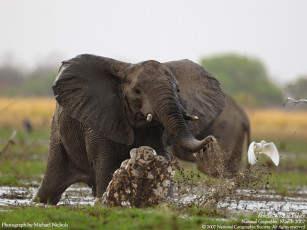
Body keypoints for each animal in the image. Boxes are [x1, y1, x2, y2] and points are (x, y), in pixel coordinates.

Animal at [33, 54, 226, 205]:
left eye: (178, 90)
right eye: (137, 91)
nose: (211, 140)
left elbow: (161, 157)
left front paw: (164, 201)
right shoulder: (100, 118)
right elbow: (105, 164)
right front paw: (104, 202)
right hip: (58, 135)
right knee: (51, 185)